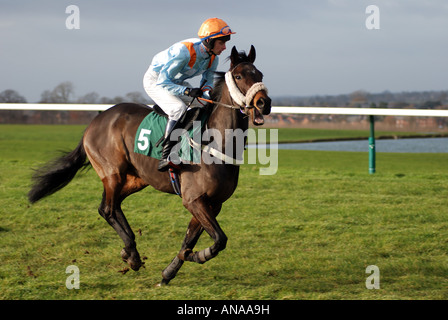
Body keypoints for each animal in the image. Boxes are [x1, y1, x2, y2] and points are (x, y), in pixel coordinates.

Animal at [29, 45, 272, 284]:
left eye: (260, 75)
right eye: (239, 76)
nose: (264, 103)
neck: (214, 142)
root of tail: (96, 120)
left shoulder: (213, 203)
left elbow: (190, 240)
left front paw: (169, 272)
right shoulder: (194, 200)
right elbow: (219, 239)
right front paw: (197, 256)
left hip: (136, 179)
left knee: (110, 206)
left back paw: (129, 251)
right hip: (112, 173)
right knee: (108, 209)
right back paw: (132, 254)